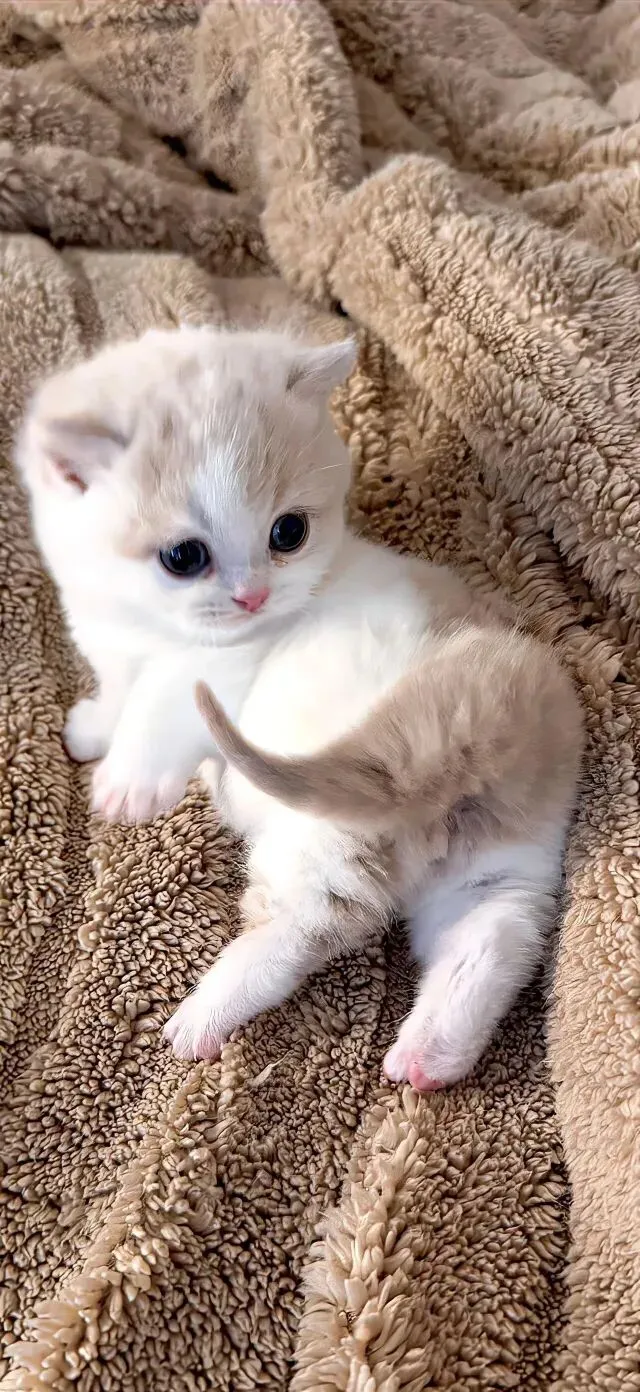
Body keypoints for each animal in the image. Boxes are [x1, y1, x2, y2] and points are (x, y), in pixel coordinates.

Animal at [17, 325, 584, 1090]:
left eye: (288, 533)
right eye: (183, 557)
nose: (254, 595)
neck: (145, 623)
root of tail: (459, 738)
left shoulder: (214, 664)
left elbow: (163, 701)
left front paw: (128, 784)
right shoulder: (105, 631)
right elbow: (118, 688)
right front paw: (93, 730)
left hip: (322, 844)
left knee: (300, 931)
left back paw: (206, 1015)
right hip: (503, 855)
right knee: (496, 933)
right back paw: (431, 1053)